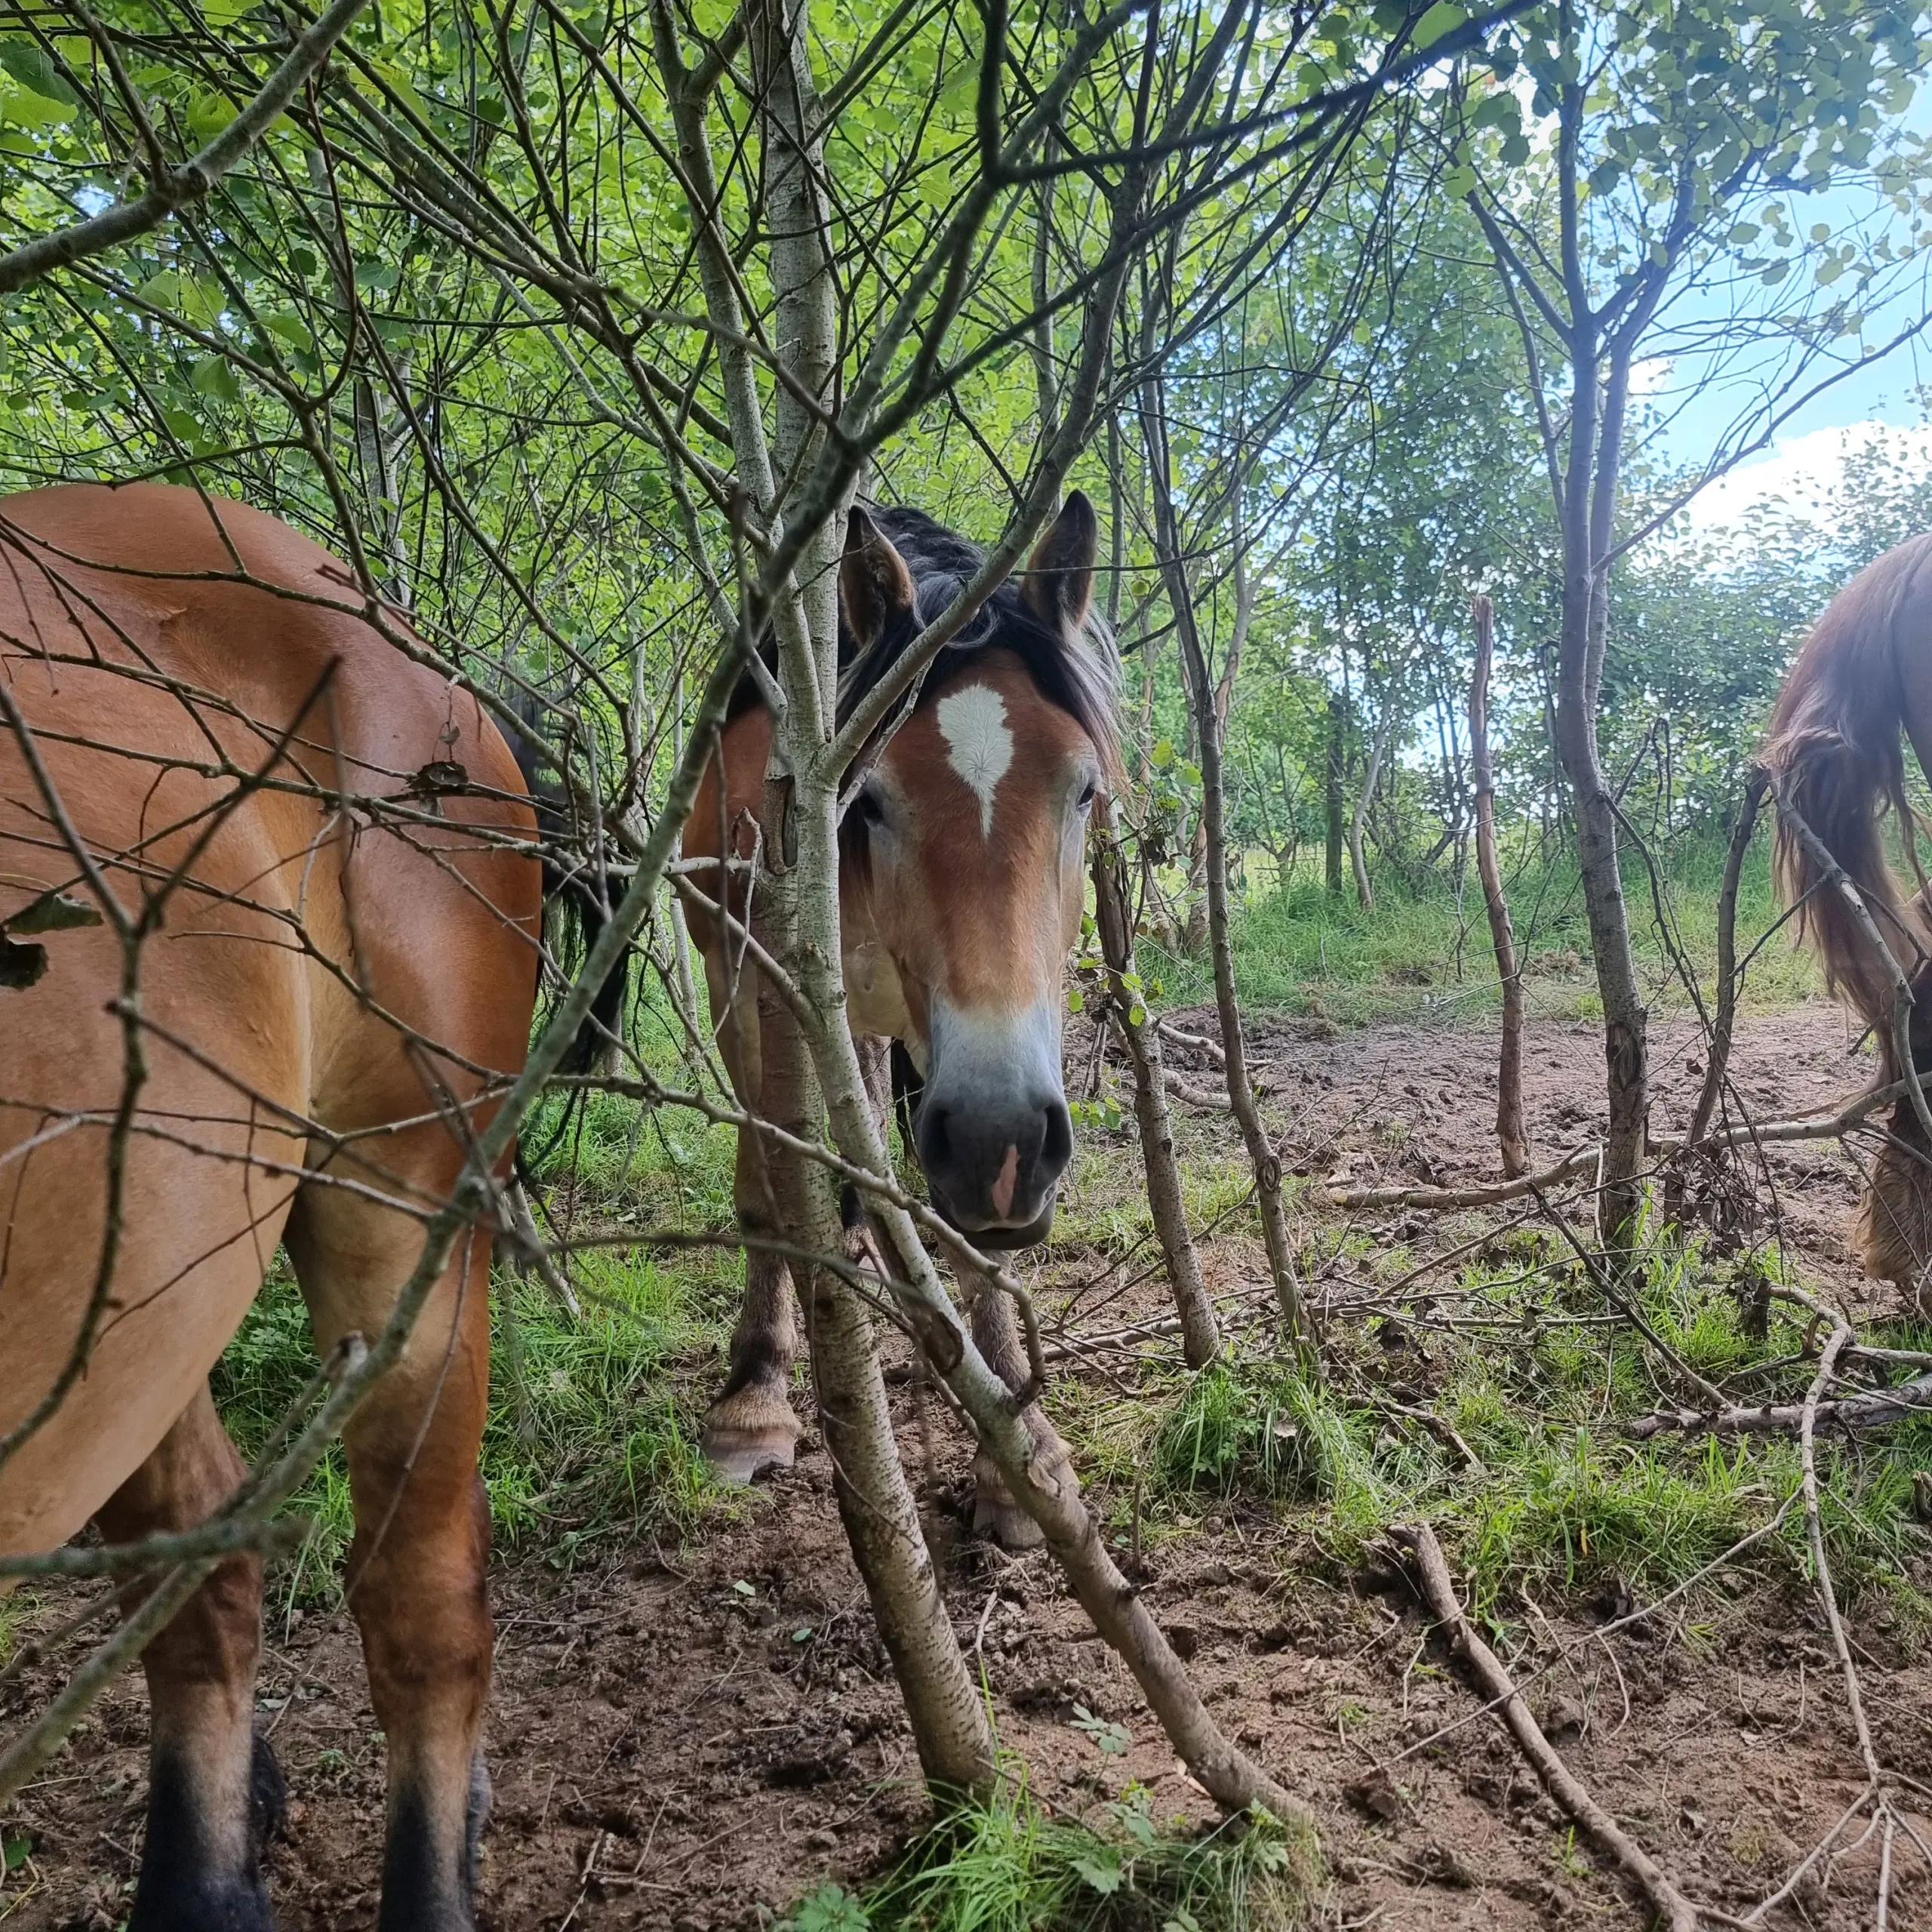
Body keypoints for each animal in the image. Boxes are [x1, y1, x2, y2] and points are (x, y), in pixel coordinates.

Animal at [688, 494, 1128, 1537]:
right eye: (873, 798)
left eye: (1082, 789)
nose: (1005, 1145)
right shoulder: (758, 988)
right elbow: (768, 1184)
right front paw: (751, 1398)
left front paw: (1018, 1446)